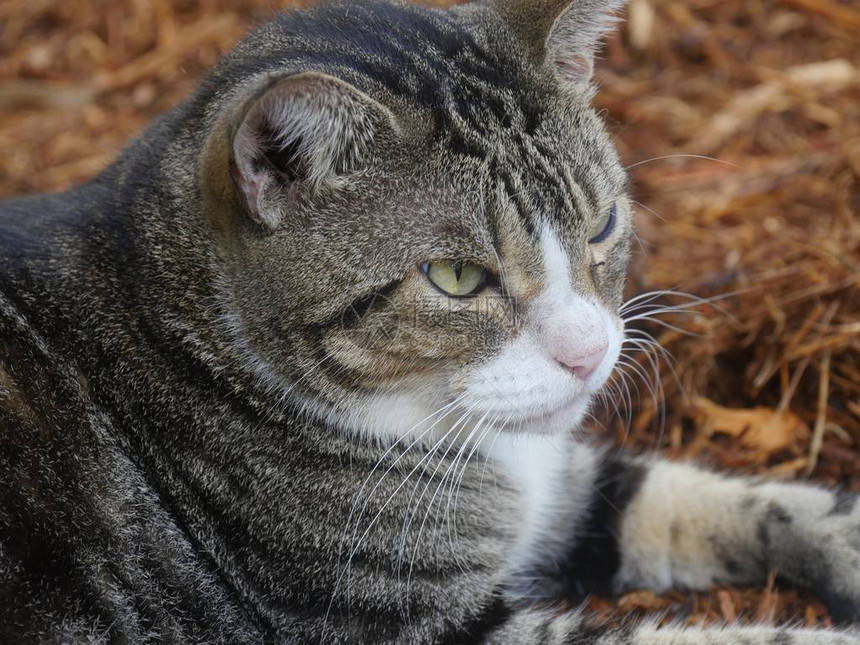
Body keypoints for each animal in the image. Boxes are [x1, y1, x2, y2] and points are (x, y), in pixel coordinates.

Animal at [1, 0, 860, 640]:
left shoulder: (561, 484)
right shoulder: (402, 620)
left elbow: (694, 497)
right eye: (456, 278)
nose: (588, 354)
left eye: (604, 225)